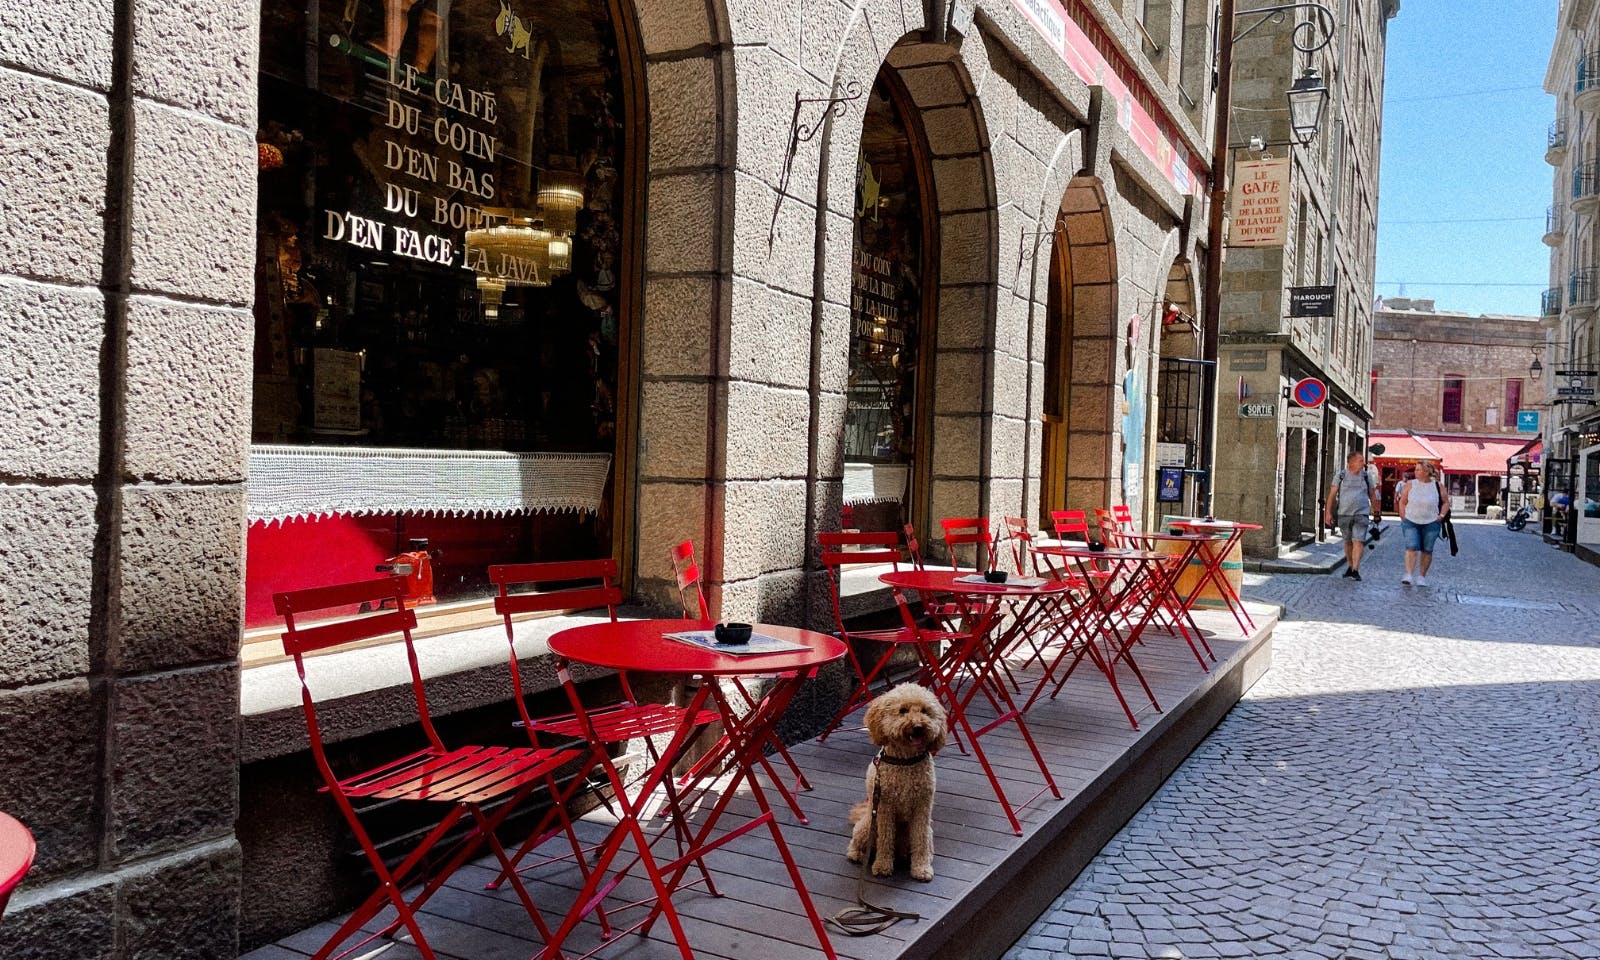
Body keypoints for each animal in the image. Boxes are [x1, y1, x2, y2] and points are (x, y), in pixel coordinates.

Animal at [844, 684, 940, 883]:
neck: (905, 761)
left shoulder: (922, 807)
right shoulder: (885, 807)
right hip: (867, 827)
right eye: (902, 710)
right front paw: (882, 866)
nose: (918, 727)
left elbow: (920, 841)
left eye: (925, 711)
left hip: (928, 832)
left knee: (923, 843)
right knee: (858, 843)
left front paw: (921, 869)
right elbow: (885, 839)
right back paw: (857, 854)